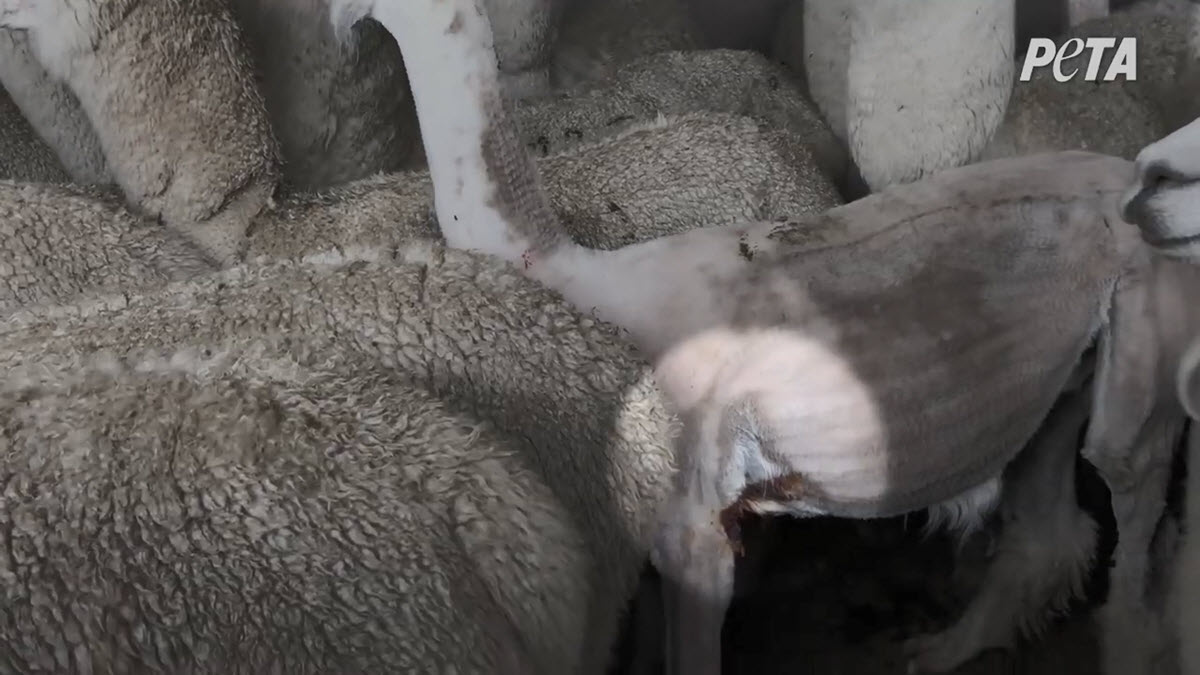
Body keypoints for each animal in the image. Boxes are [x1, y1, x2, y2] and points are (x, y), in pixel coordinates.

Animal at [350, 1, 1200, 672]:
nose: (345, 33)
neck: (584, 277)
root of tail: (1122, 179)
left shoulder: (695, 523)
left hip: (1146, 345)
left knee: (1137, 532)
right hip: (1062, 381)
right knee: (1050, 533)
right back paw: (939, 649)